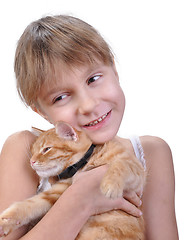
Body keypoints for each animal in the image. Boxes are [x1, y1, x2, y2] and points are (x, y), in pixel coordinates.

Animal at [0, 123, 146, 239]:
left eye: (46, 149)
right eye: (33, 151)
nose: (31, 161)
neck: (88, 159)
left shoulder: (136, 171)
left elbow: (119, 165)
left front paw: (111, 185)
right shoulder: (61, 191)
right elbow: (30, 204)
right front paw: (6, 222)